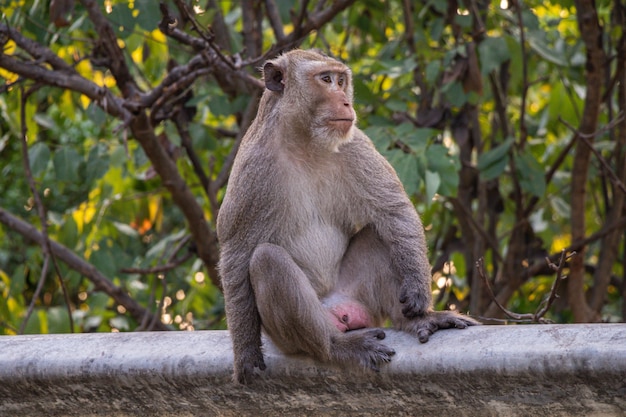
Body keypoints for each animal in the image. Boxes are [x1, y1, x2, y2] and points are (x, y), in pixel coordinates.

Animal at [216, 49, 478, 384]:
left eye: (341, 81)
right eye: (326, 79)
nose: (345, 102)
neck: (305, 141)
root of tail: (335, 306)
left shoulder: (355, 143)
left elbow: (393, 209)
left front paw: (419, 292)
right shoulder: (252, 166)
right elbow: (236, 251)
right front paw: (246, 353)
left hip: (357, 295)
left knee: (379, 233)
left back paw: (418, 321)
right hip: (287, 334)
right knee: (266, 259)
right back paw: (335, 347)